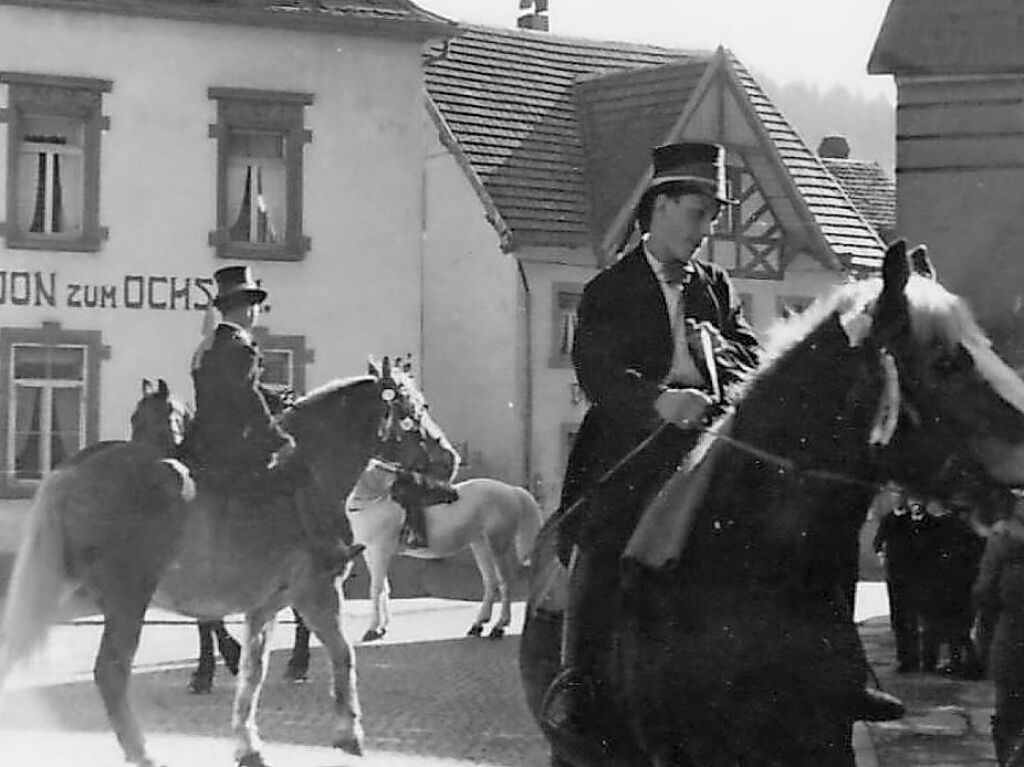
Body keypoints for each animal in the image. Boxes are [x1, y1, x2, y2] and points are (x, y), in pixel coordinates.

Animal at [0, 358, 434, 765]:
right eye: (416, 407)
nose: (445, 456)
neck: (307, 477)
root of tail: (73, 470)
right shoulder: (317, 591)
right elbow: (343, 654)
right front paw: (349, 733)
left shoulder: (266, 605)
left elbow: (253, 673)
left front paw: (248, 744)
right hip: (126, 596)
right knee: (111, 670)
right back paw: (142, 750)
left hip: (68, 590)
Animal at [344, 466, 544, 638]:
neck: (376, 501)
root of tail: (512, 491)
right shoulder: (370, 553)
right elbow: (383, 588)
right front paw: (382, 625)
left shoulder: (380, 552)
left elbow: (376, 589)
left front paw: (373, 628)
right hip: (480, 544)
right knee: (490, 582)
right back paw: (478, 624)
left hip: (499, 544)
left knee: (505, 582)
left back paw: (499, 626)